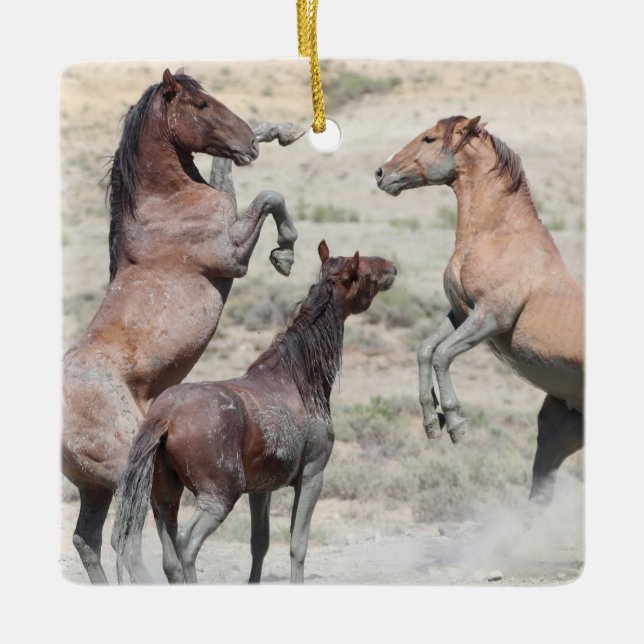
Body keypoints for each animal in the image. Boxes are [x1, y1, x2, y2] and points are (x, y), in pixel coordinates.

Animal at [62, 68, 300, 583]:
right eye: (201, 105)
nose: (247, 142)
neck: (164, 203)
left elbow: (230, 176)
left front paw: (282, 130)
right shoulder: (232, 252)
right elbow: (270, 197)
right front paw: (286, 252)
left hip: (97, 487)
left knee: (89, 540)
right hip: (137, 474)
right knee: (126, 541)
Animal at [113, 240, 397, 584]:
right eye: (363, 272)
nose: (390, 267)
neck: (296, 379)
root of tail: (165, 416)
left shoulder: (261, 490)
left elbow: (259, 543)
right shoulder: (312, 476)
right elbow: (298, 544)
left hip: (165, 499)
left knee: (171, 559)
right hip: (217, 499)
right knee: (188, 544)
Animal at [375, 115, 583, 503]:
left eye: (429, 138)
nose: (381, 173)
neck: (497, 236)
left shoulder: (490, 318)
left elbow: (442, 355)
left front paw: (456, 422)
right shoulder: (460, 312)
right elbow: (425, 350)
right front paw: (431, 420)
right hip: (560, 428)